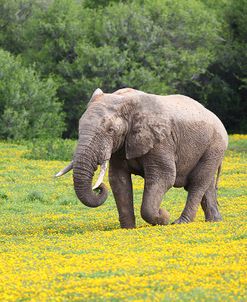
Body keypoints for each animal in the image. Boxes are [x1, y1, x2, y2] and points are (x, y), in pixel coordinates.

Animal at [55, 87, 228, 229]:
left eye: (110, 130)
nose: (97, 188)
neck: (125, 101)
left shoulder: (161, 141)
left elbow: (164, 177)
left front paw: (163, 217)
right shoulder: (121, 146)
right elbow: (118, 181)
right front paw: (128, 229)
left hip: (215, 146)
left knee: (197, 183)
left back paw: (180, 222)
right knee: (207, 185)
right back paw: (214, 221)